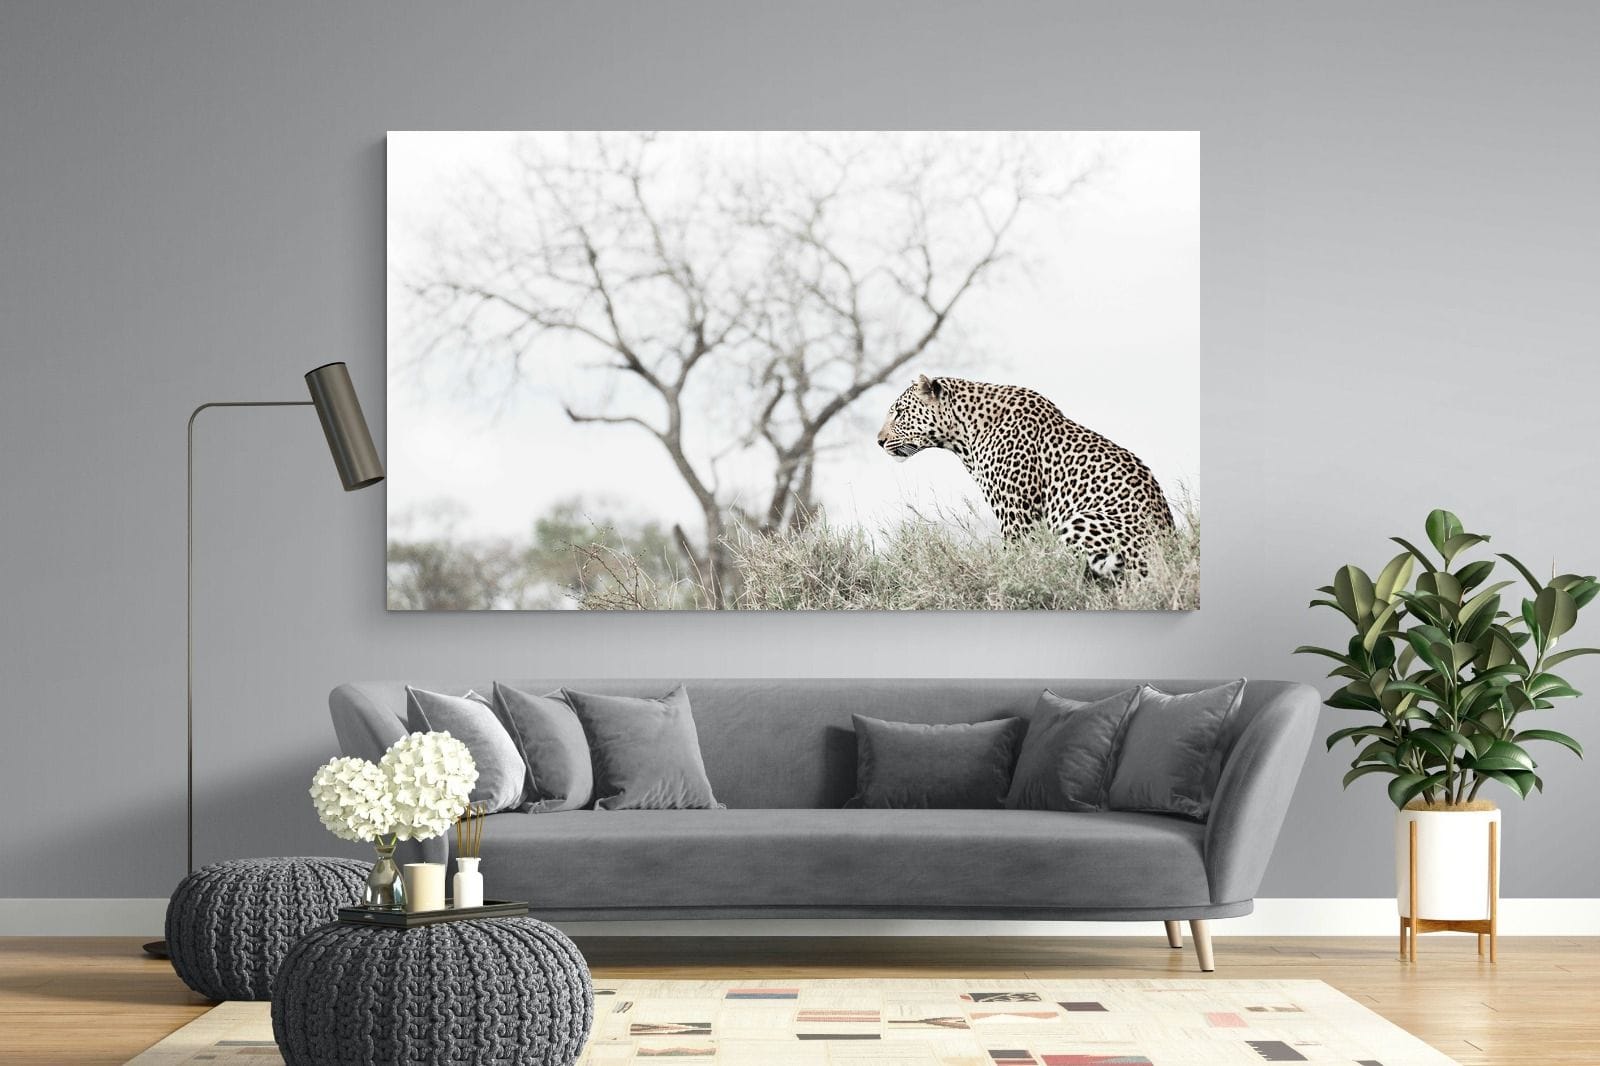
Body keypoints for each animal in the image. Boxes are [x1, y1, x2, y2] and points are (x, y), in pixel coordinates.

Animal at [876, 374, 1175, 578]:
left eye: (900, 412)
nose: (879, 441)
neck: (963, 434)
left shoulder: (1016, 513)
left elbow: (1016, 557)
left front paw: (1009, 579)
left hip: (1081, 520)